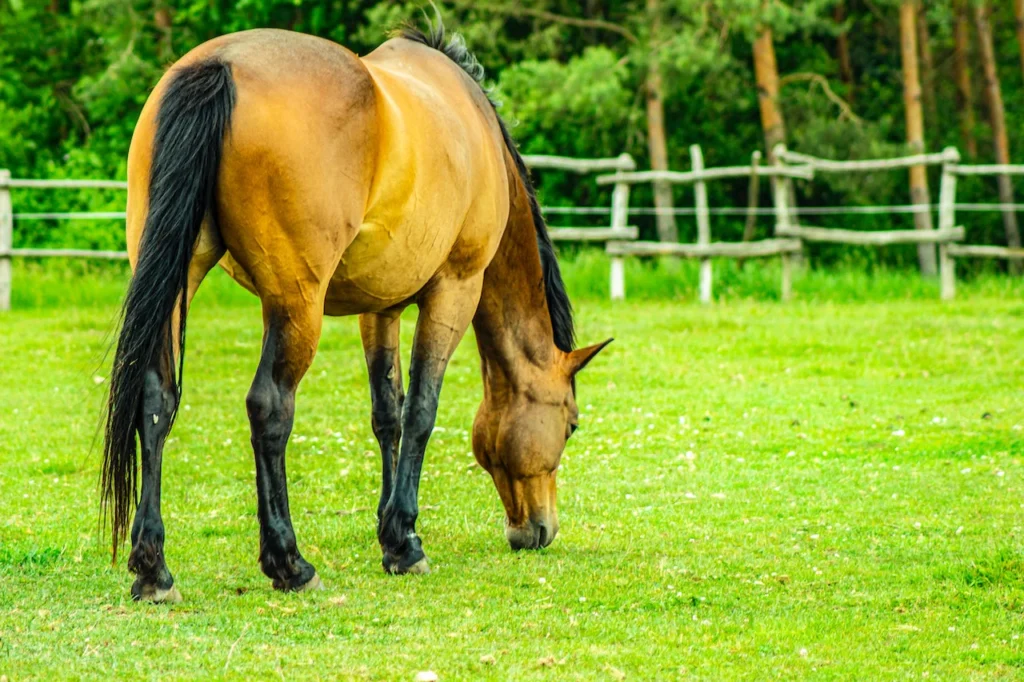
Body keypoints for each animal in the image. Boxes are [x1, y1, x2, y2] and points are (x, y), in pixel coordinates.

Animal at [102, 21, 611, 602]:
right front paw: (406, 543)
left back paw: (153, 569)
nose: (539, 530)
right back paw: (289, 563)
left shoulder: (380, 308)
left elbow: (387, 413)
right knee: (269, 408)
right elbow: (421, 412)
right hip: (296, 305)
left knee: (156, 401)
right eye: (571, 425)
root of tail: (219, 65)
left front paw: (391, 534)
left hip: (176, 280)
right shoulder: (454, 290)